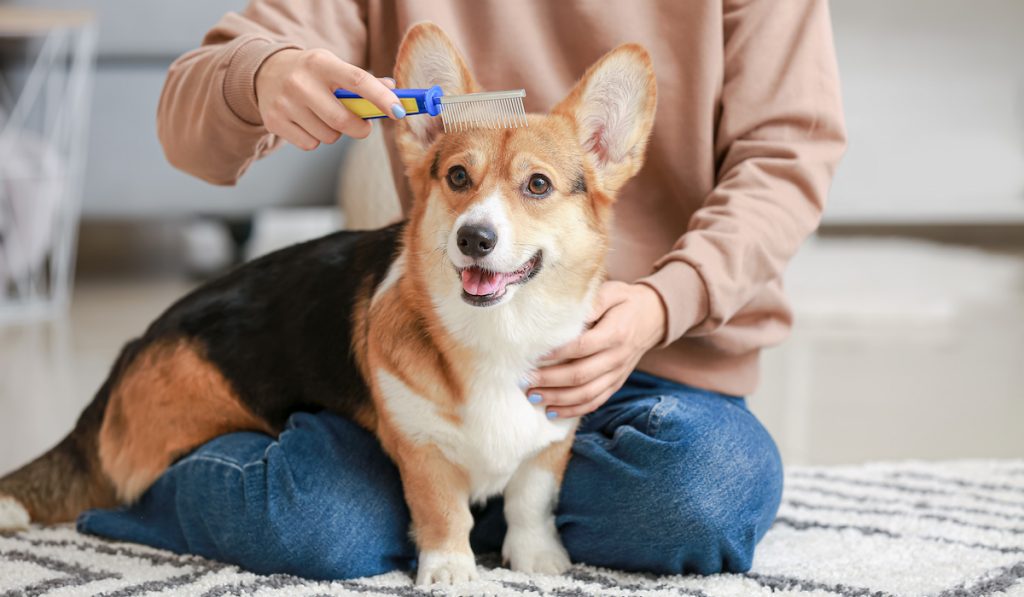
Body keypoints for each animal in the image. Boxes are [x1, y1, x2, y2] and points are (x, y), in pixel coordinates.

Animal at [0, 22, 655, 585]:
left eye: (537, 185)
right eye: (457, 177)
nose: (475, 237)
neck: (498, 336)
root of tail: (131, 349)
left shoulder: (551, 439)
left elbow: (531, 501)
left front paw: (539, 560)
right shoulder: (420, 451)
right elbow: (444, 512)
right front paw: (450, 571)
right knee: (136, 492)